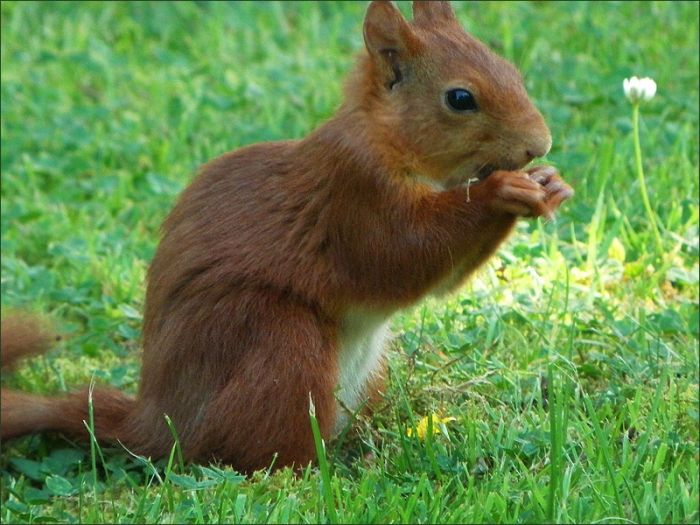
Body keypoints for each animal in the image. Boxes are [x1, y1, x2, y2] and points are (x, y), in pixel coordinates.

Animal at [1, 1, 573, 474]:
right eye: (460, 99)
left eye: (513, 72)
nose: (539, 144)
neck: (389, 140)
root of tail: (160, 423)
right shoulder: (354, 195)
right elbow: (401, 256)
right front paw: (503, 190)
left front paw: (549, 183)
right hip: (278, 342)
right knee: (257, 454)